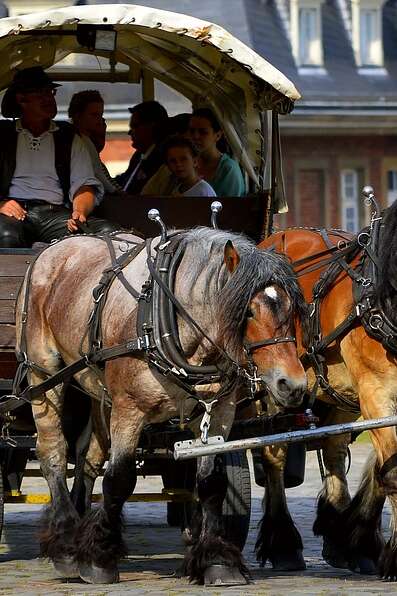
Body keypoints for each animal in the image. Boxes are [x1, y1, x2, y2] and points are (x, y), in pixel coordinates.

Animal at [15, 228, 306, 588]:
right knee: (53, 452)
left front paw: (217, 560)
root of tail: (53, 248)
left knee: (87, 457)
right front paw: (98, 559)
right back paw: (68, 543)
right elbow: (120, 479)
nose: (292, 384)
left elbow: (212, 483)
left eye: (292, 311)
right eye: (248, 312)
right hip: (43, 375)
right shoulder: (129, 410)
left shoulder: (219, 413)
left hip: (97, 390)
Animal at [256, 204, 397, 576]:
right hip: (274, 386)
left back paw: (342, 537)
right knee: (273, 456)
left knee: (334, 450)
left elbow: (380, 469)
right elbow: (392, 472)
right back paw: (283, 544)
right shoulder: (376, 393)